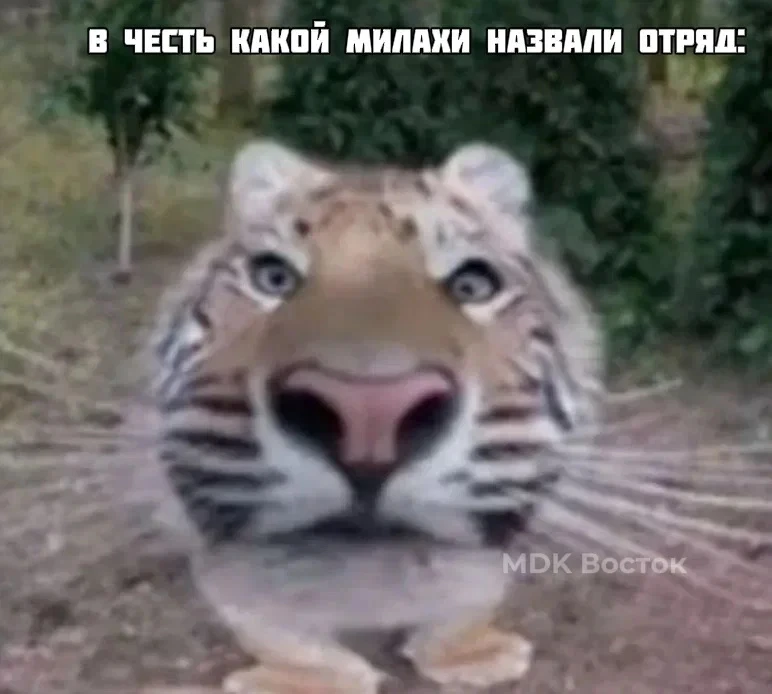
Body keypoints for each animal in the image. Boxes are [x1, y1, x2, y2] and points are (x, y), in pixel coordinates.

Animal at [146, 138, 608, 693]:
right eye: (274, 278)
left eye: (472, 286)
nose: (370, 412)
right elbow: (277, 628)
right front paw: (311, 679)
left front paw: (470, 655)